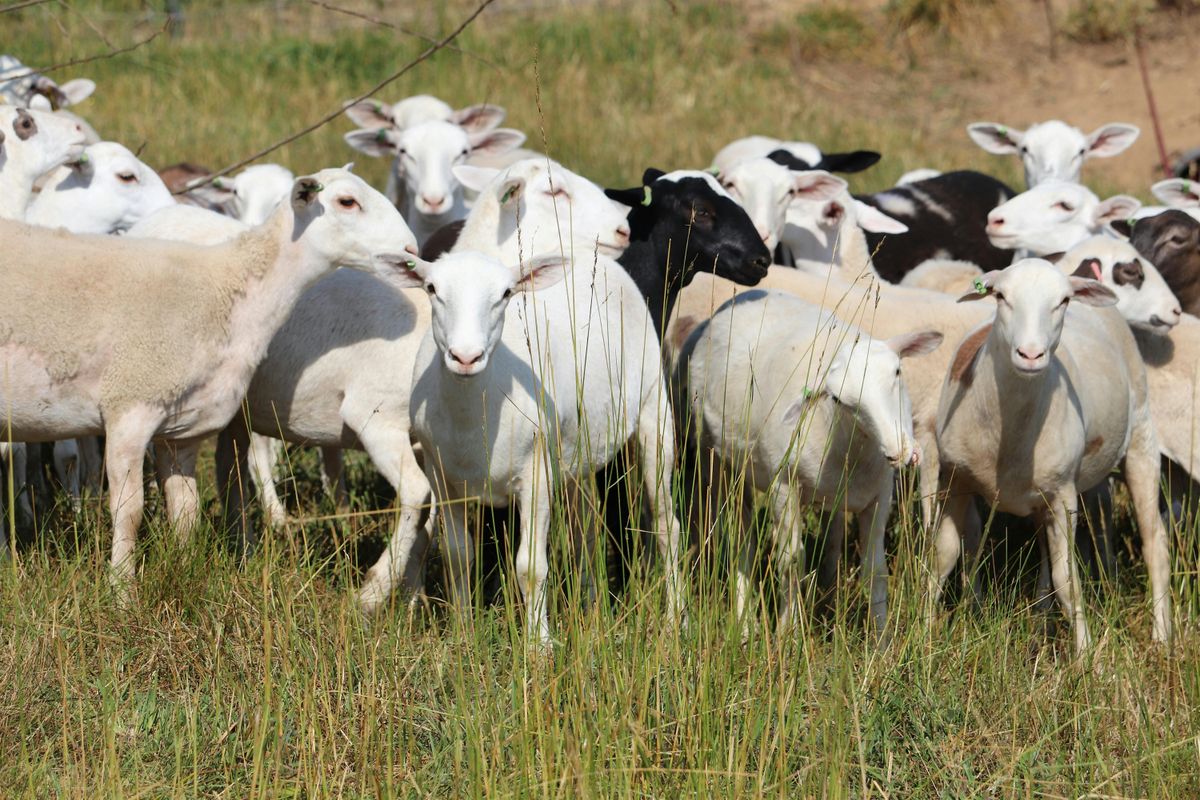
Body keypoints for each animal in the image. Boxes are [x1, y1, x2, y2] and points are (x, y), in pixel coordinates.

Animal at [0, 168, 421, 586]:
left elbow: (186, 512)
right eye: (347, 202)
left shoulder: (180, 431)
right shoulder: (128, 408)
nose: (412, 250)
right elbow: (129, 511)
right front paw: (122, 590)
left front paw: (185, 576)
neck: (227, 288)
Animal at [397, 249, 684, 644]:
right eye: (431, 288)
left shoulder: (536, 476)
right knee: (584, 532)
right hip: (579, 449)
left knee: (665, 524)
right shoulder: (441, 476)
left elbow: (530, 567)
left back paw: (675, 621)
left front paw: (539, 643)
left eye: (505, 293)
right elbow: (458, 556)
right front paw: (464, 635)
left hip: (654, 409)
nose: (466, 357)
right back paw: (590, 603)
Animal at [679, 288, 940, 634]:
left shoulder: (881, 493)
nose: (900, 451)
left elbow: (875, 571)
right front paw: (787, 633)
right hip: (715, 460)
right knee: (741, 542)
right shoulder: (783, 486)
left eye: (898, 372)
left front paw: (881, 640)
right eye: (839, 400)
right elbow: (791, 562)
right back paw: (746, 624)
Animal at [933, 259, 1171, 651]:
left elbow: (1068, 581)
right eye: (1000, 296)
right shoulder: (955, 480)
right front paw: (920, 635)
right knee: (1049, 549)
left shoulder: (1063, 496)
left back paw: (1162, 636)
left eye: (1064, 300)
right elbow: (943, 558)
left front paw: (1088, 657)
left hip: (1141, 438)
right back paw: (1041, 622)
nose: (1030, 355)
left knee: (1155, 543)